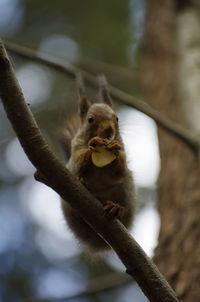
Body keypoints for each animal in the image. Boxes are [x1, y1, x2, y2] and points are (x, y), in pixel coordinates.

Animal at [61, 74, 135, 251]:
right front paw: (92, 147)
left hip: (126, 189)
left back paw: (116, 208)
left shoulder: (122, 155)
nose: (109, 130)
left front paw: (115, 151)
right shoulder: (75, 154)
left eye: (117, 118)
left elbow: (119, 171)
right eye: (90, 119)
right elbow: (79, 163)